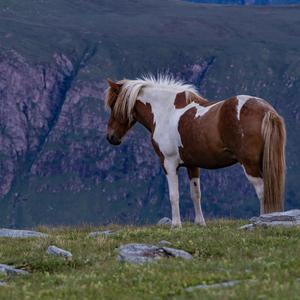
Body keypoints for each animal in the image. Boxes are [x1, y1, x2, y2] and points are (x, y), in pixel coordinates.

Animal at [105, 75, 286, 227]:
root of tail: (266, 110)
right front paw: (200, 223)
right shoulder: (192, 165)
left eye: (114, 105)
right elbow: (195, 194)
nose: (111, 137)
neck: (166, 111)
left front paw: (176, 225)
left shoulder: (168, 163)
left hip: (250, 165)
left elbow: (174, 195)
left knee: (262, 190)